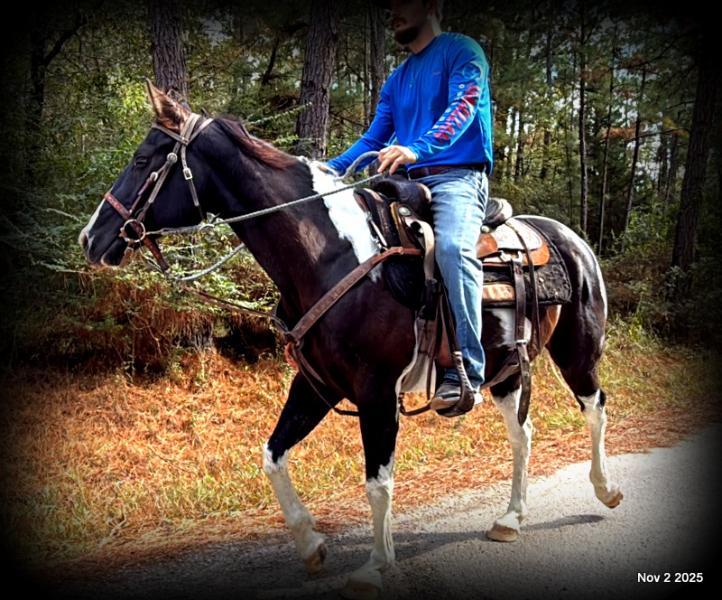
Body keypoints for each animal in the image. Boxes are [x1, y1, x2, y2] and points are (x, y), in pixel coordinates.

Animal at [79, 82, 622, 598]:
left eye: (143, 160)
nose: (90, 238)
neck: (328, 255)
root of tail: (568, 237)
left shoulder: (376, 389)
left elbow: (377, 482)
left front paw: (374, 568)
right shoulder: (316, 385)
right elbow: (273, 455)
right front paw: (311, 544)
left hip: (576, 353)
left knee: (594, 408)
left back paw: (606, 490)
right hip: (505, 367)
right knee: (522, 433)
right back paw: (510, 518)